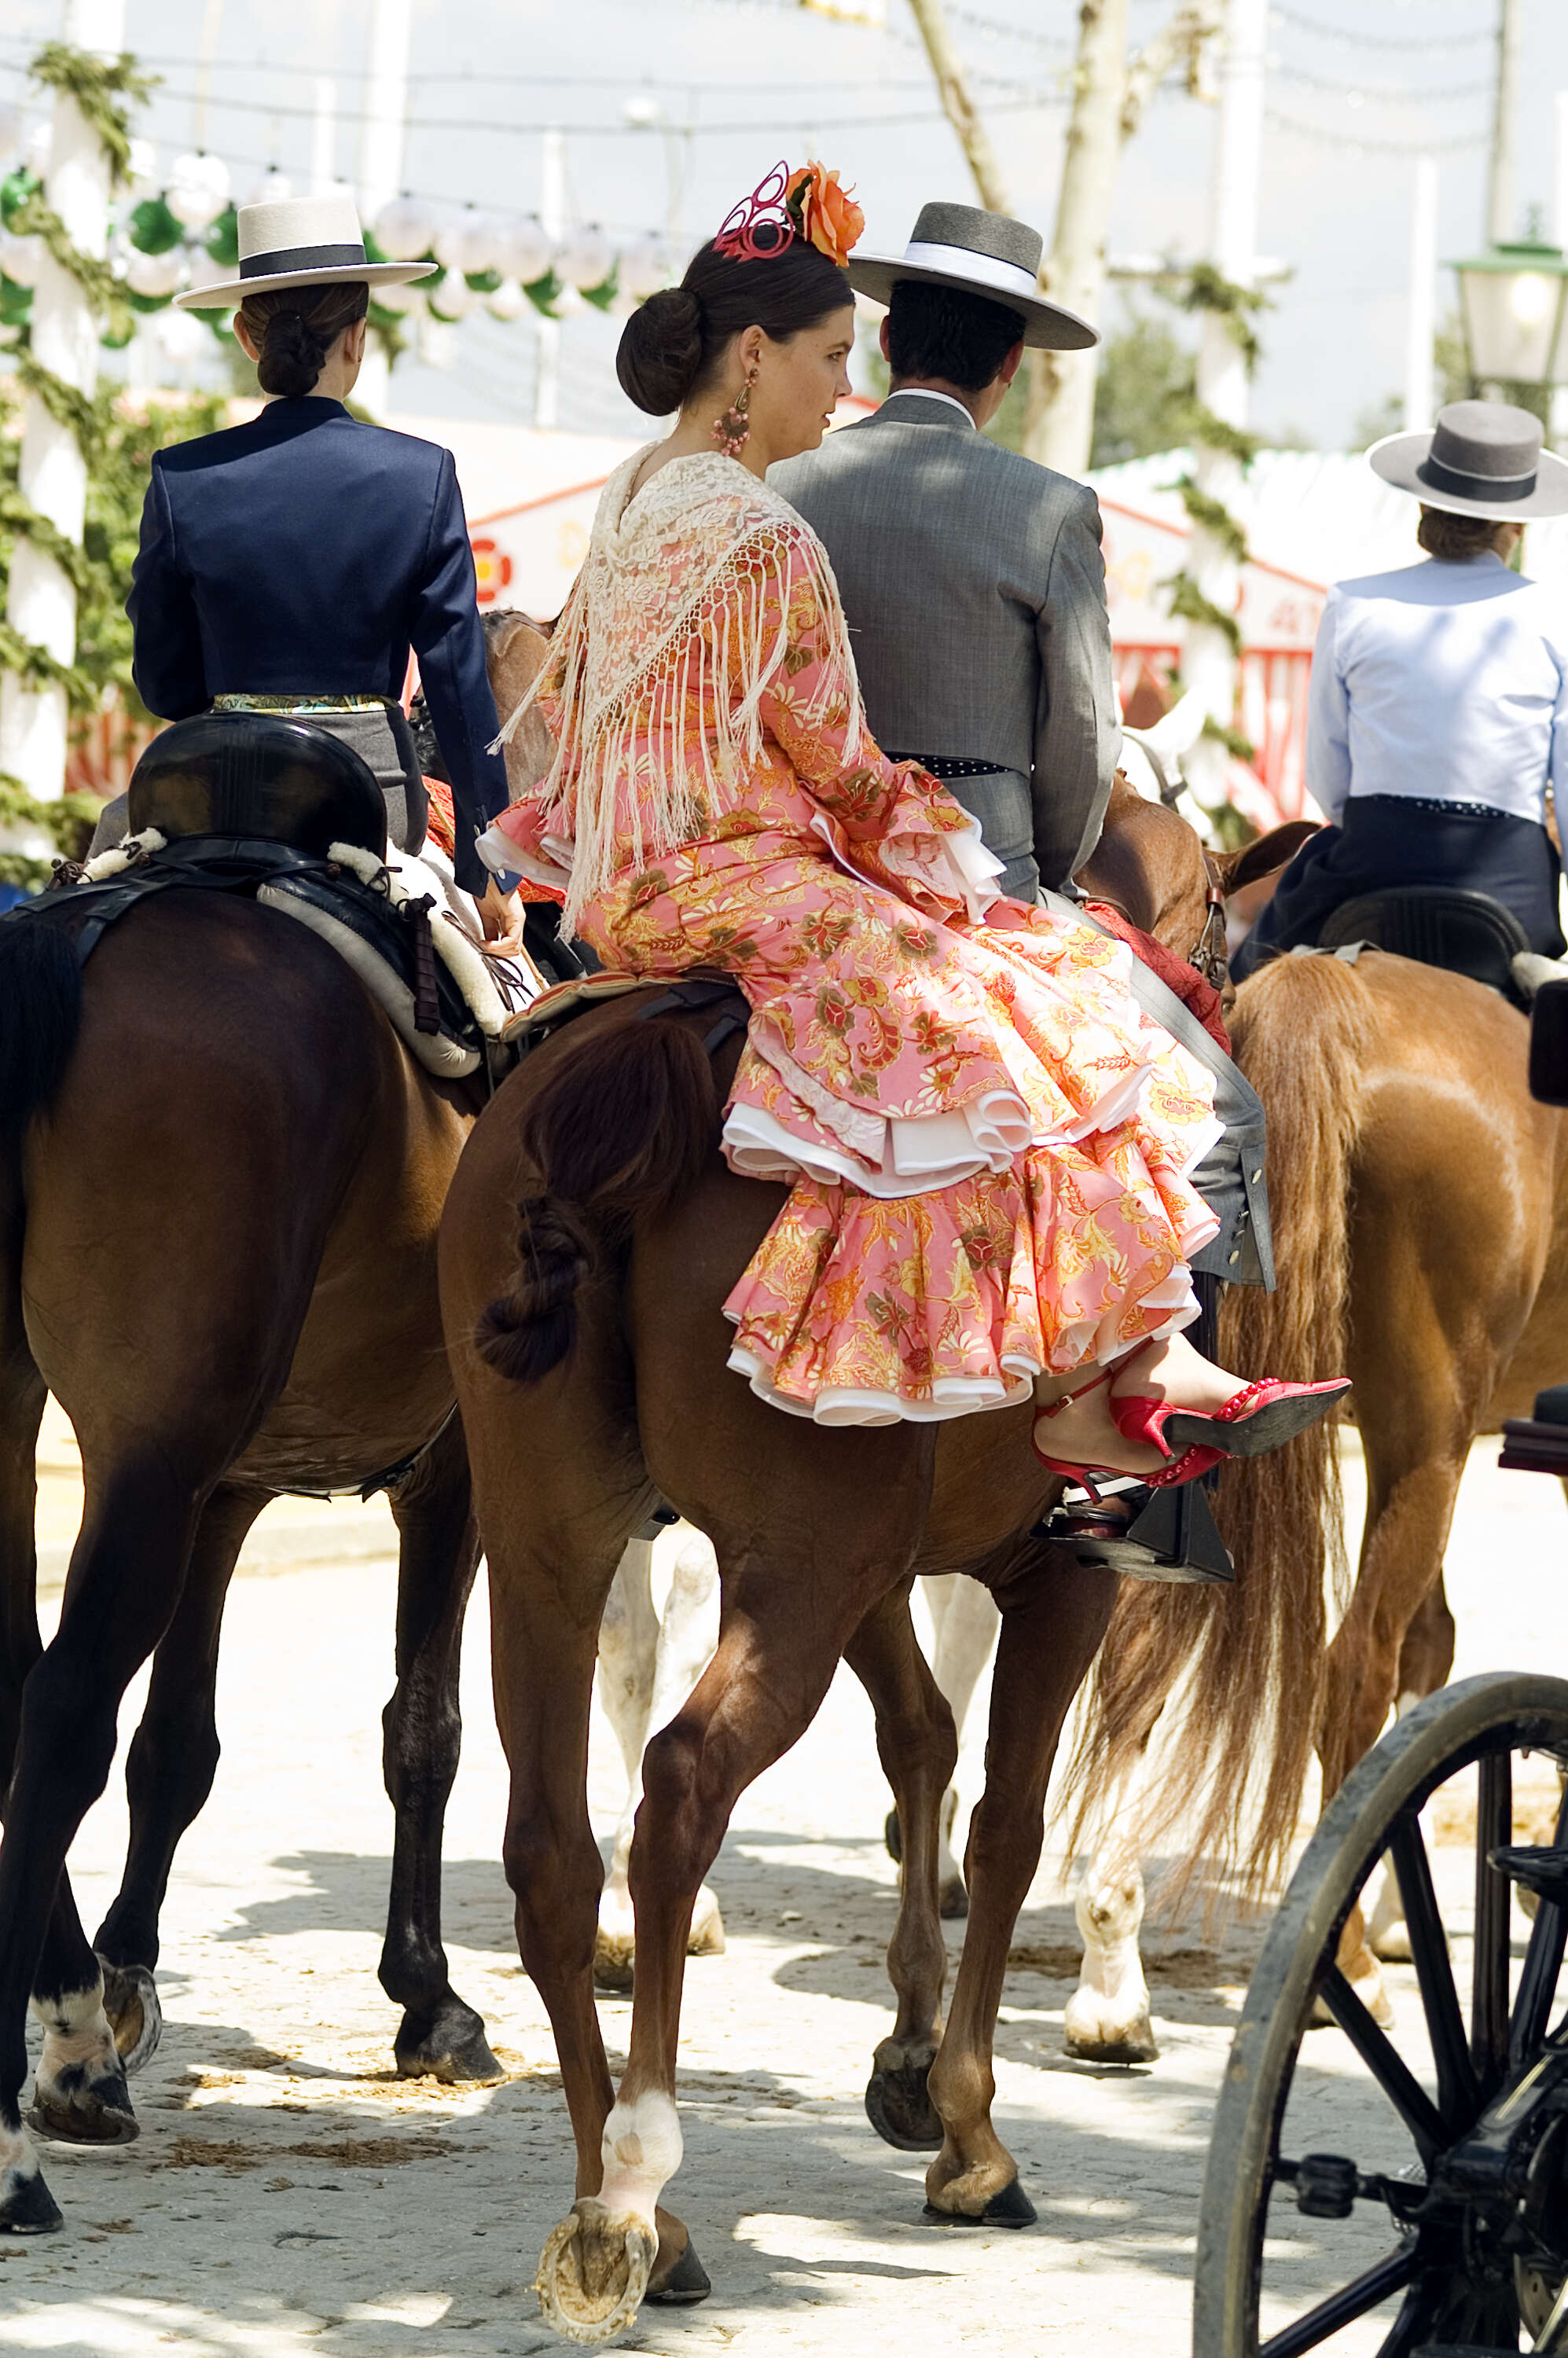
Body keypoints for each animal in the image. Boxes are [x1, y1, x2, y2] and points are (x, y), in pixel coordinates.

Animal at [434, 778, 1311, 2339]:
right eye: (1219, 909)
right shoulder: (1056, 1578)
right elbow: (1005, 1820)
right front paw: (967, 2127)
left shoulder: (877, 1570)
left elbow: (919, 1745)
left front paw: (906, 2058)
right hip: (791, 1570)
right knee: (679, 1789)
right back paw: (634, 2195)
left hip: (550, 1547)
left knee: (551, 1848)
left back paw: (620, 2205)